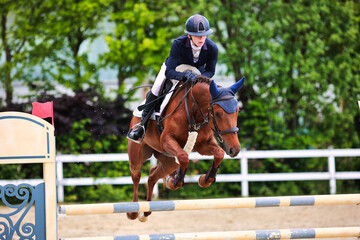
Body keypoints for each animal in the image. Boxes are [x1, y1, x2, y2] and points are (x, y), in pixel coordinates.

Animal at [126, 65, 245, 221]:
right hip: (138, 154)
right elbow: (183, 156)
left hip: (169, 161)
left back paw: (146, 211)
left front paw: (204, 179)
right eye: (218, 113)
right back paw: (134, 211)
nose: (234, 149)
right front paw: (177, 181)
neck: (194, 109)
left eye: (237, 111)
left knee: (152, 176)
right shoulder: (166, 140)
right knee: (136, 175)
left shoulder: (203, 145)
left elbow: (219, 153)